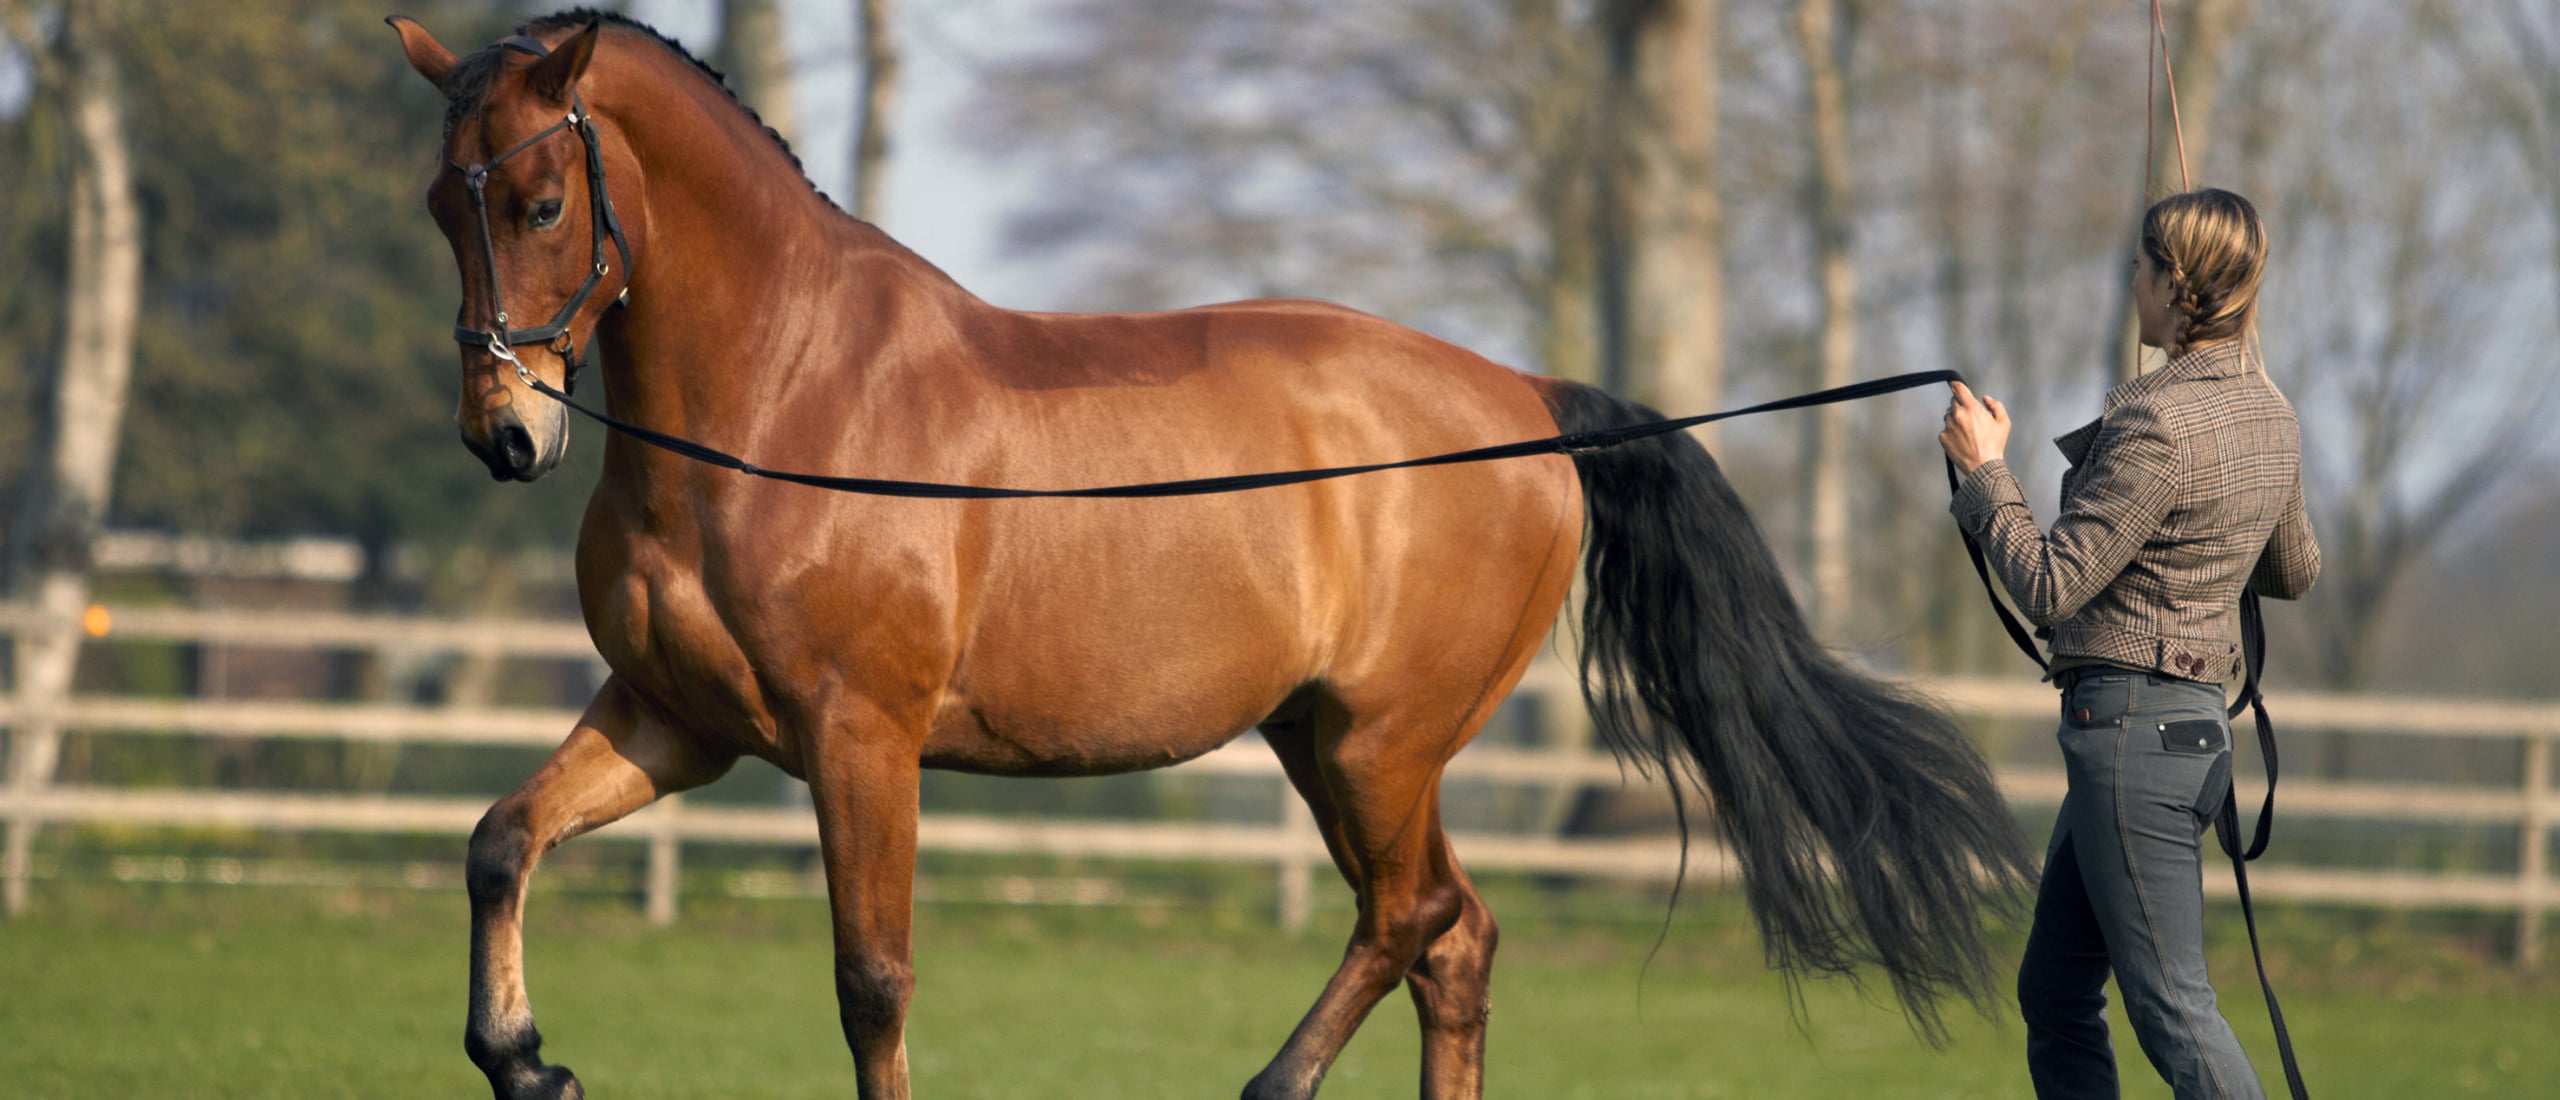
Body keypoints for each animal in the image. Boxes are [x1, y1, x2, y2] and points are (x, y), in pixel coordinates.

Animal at [387, 12, 2031, 1099]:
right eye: (436, 212)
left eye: (540, 202)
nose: (505, 435)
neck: (787, 401)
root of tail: (1524, 401)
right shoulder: (678, 722)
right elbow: (499, 841)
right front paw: (524, 1061)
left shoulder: (862, 741)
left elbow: (872, 984)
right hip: (1327, 745)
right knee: (1455, 938)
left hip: (1379, 742)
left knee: (1412, 920)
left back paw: (1271, 1085)